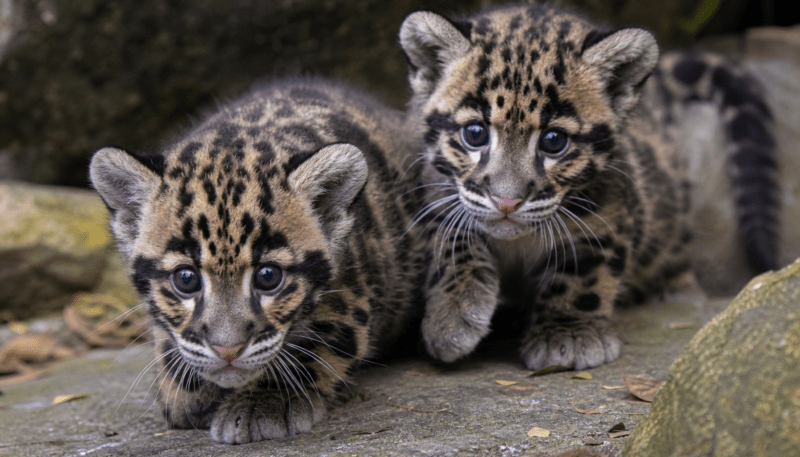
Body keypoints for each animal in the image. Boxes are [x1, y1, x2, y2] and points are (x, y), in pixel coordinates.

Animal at [89, 78, 426, 444]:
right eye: (186, 279)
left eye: (268, 277)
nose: (228, 351)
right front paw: (186, 388)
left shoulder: (354, 293)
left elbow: (320, 341)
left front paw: (265, 401)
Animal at [398, 3, 780, 371]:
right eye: (475, 133)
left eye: (554, 141)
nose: (507, 202)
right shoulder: (435, 193)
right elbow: (452, 243)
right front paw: (451, 317)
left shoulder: (609, 213)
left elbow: (584, 270)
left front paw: (568, 335)